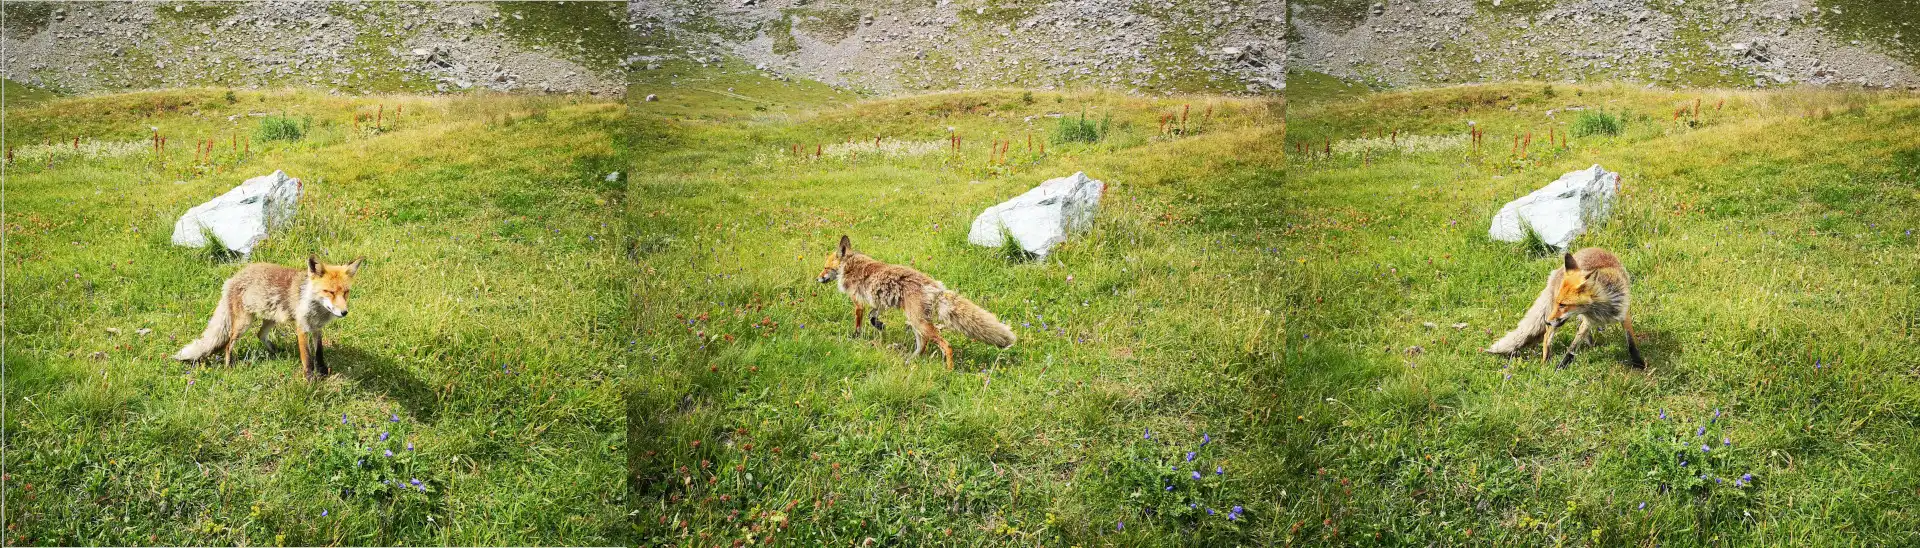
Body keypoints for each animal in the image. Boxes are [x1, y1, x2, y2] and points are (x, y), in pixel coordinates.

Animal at [174, 253, 360, 376]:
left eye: (346, 292)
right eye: (329, 292)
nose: (344, 312)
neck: (316, 308)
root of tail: (232, 279)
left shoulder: (317, 329)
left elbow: (319, 353)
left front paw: (322, 372)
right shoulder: (302, 329)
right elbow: (307, 360)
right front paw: (310, 381)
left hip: (271, 319)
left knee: (260, 334)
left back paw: (276, 352)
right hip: (243, 324)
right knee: (228, 343)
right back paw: (229, 366)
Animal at [814, 234, 1013, 367]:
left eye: (825, 268)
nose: (817, 279)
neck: (849, 266)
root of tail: (934, 285)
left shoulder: (858, 303)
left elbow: (858, 322)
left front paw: (855, 337)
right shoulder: (878, 303)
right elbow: (872, 316)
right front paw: (879, 325)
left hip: (919, 322)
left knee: (945, 345)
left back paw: (948, 370)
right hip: (916, 322)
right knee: (923, 345)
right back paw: (911, 360)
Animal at [1489, 246, 1643, 367]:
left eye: (1563, 304)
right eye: (1558, 302)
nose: (1547, 321)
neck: (1601, 309)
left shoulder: (1623, 314)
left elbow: (1631, 342)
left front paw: (1639, 363)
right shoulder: (1587, 321)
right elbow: (1572, 348)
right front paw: (1560, 367)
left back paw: (1592, 346)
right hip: (1558, 322)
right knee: (1546, 336)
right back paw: (1545, 362)